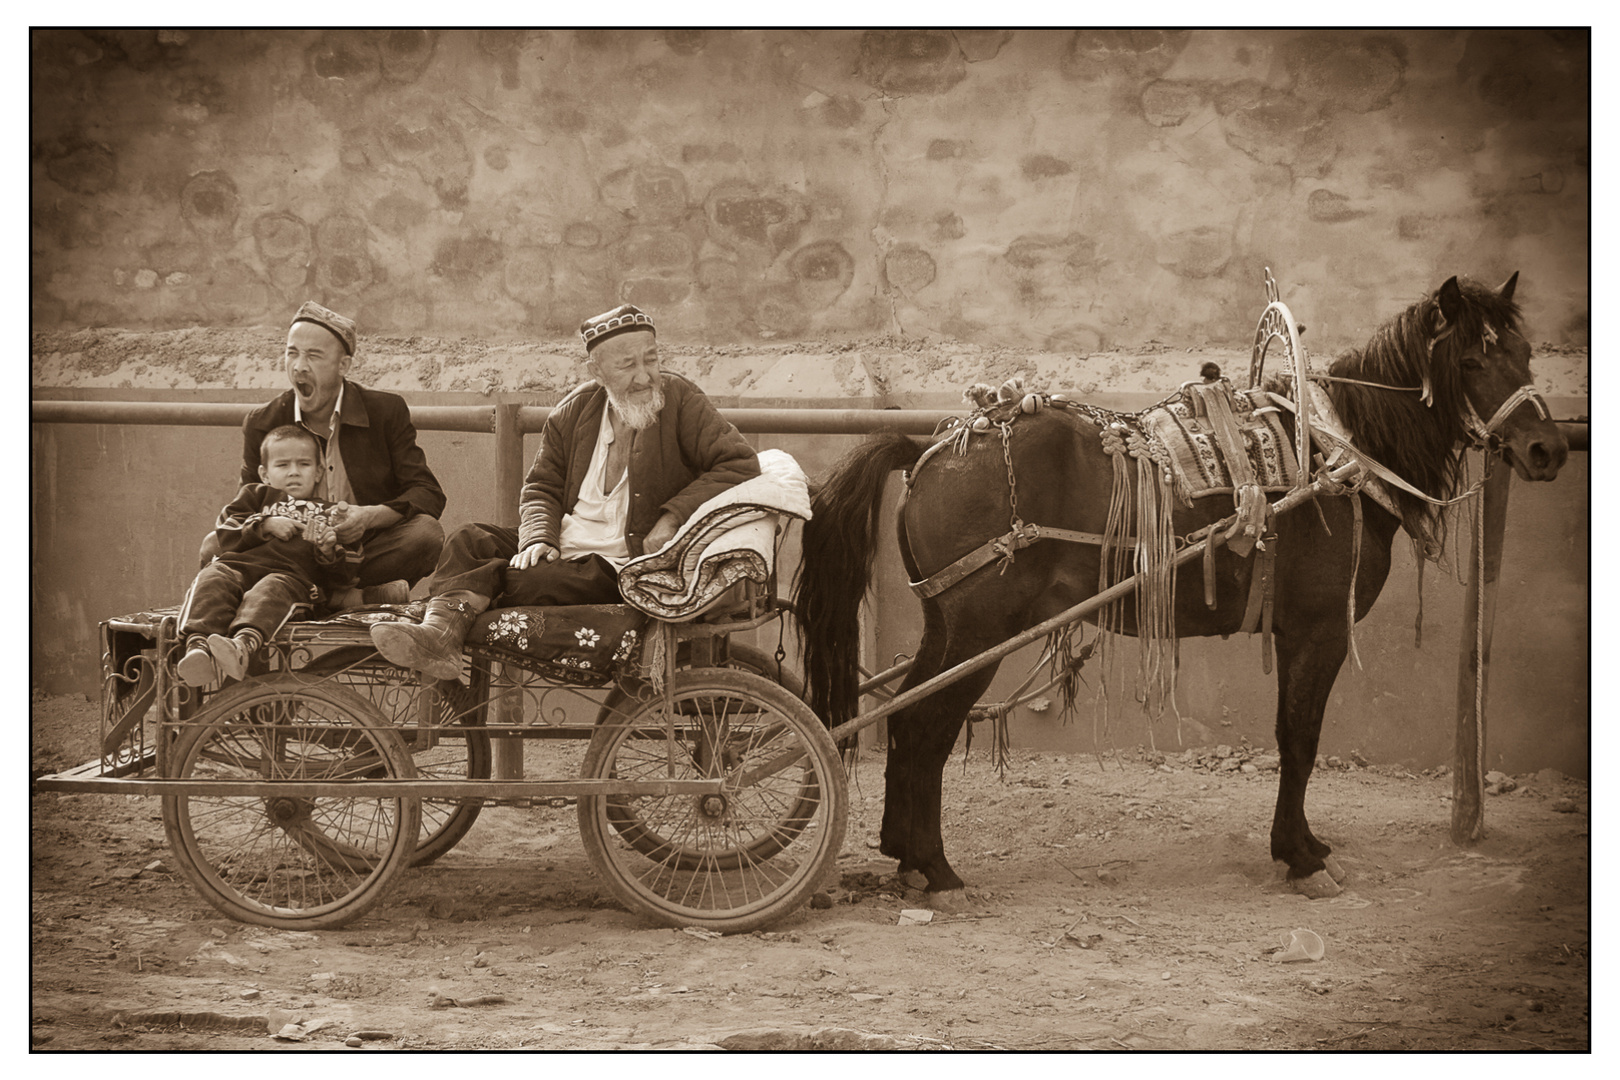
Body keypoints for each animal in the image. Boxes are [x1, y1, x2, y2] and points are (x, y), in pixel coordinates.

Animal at [797, 275, 1568, 900]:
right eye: (1470, 361)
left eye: (1525, 353)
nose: (1548, 450)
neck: (1334, 457)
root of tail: (934, 446)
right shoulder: (1317, 628)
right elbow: (1299, 738)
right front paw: (1300, 858)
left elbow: (1296, 736)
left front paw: (1306, 845)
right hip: (979, 630)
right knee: (928, 726)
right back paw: (937, 868)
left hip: (947, 626)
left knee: (905, 721)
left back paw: (904, 854)